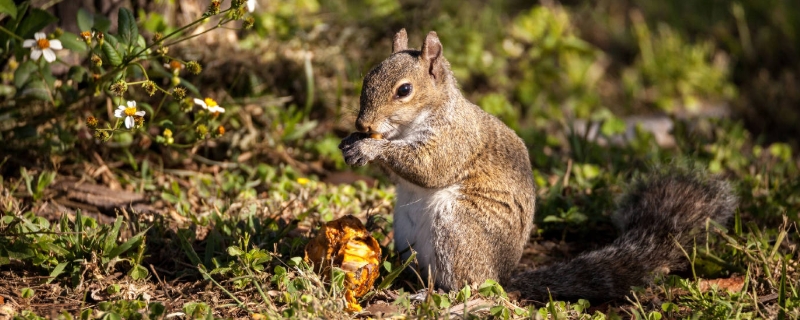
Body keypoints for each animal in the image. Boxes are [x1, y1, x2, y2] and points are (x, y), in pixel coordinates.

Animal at [338, 28, 736, 302]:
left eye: (404, 90)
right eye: (367, 78)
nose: (362, 124)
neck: (421, 119)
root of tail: (501, 275)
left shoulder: (455, 140)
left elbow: (428, 167)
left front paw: (371, 149)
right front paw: (350, 142)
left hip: (458, 228)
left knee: (468, 284)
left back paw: (434, 294)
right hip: (407, 230)